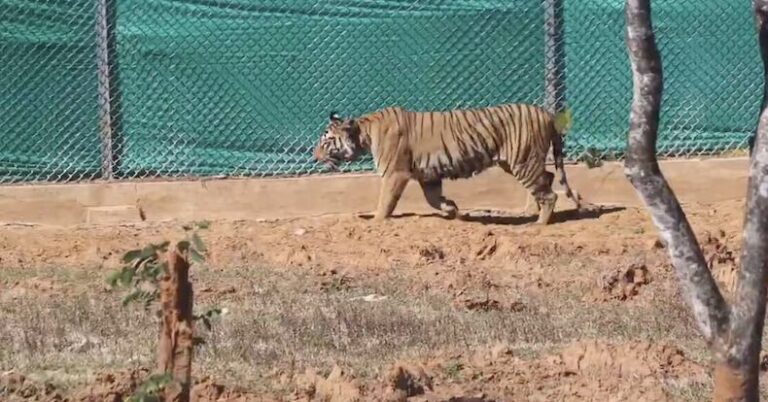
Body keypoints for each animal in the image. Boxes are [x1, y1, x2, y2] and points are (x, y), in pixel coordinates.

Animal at [312, 103, 584, 224]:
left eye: (326, 141)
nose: (314, 155)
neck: (365, 133)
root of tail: (547, 113)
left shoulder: (395, 174)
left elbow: (385, 201)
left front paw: (376, 221)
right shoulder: (428, 176)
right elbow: (433, 199)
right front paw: (452, 209)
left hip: (523, 161)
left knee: (549, 192)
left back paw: (538, 223)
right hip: (519, 162)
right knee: (548, 179)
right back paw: (537, 213)